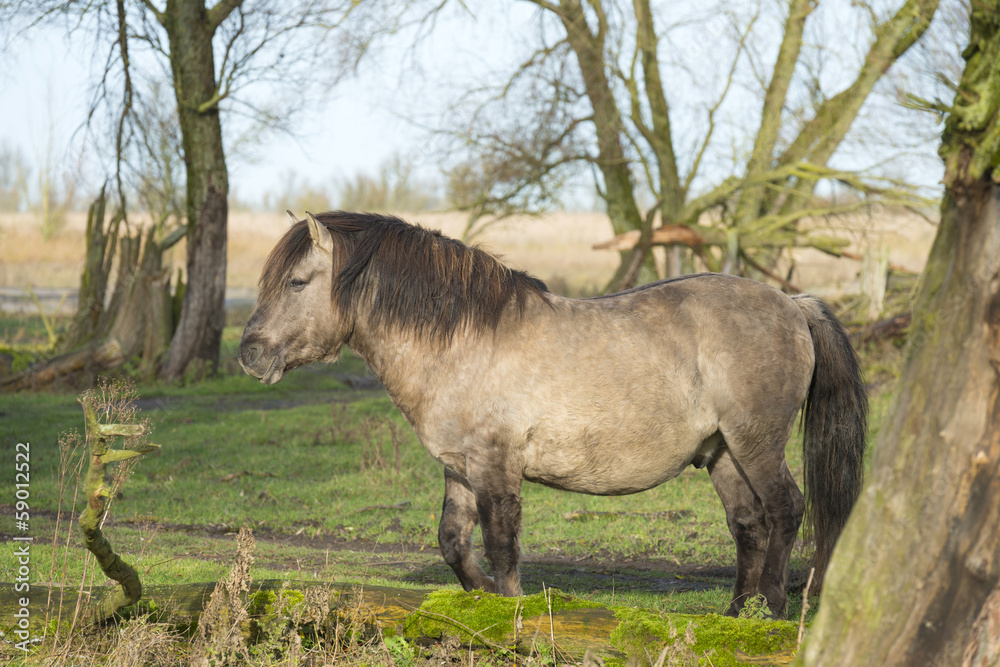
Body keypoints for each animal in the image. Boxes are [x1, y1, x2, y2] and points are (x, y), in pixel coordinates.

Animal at [239, 210, 868, 618]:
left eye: (297, 281)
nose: (249, 354)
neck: (462, 341)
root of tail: (793, 303)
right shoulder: (461, 466)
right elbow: (452, 542)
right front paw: (480, 602)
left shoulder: (496, 465)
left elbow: (502, 545)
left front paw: (509, 613)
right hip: (722, 453)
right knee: (749, 524)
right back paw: (736, 616)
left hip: (756, 442)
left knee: (786, 510)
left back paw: (775, 606)